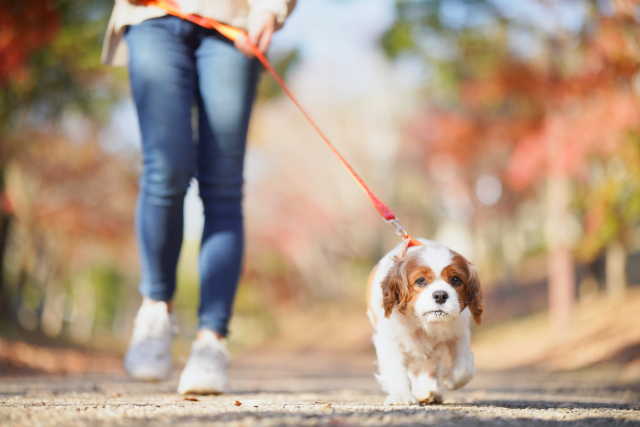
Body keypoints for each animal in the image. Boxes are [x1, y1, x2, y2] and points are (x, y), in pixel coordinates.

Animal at [368, 239, 482, 406]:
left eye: (456, 280)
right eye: (421, 280)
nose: (440, 295)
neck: (425, 323)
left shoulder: (459, 333)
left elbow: (463, 367)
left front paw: (450, 381)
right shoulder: (390, 342)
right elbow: (396, 371)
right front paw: (401, 395)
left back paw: (428, 391)